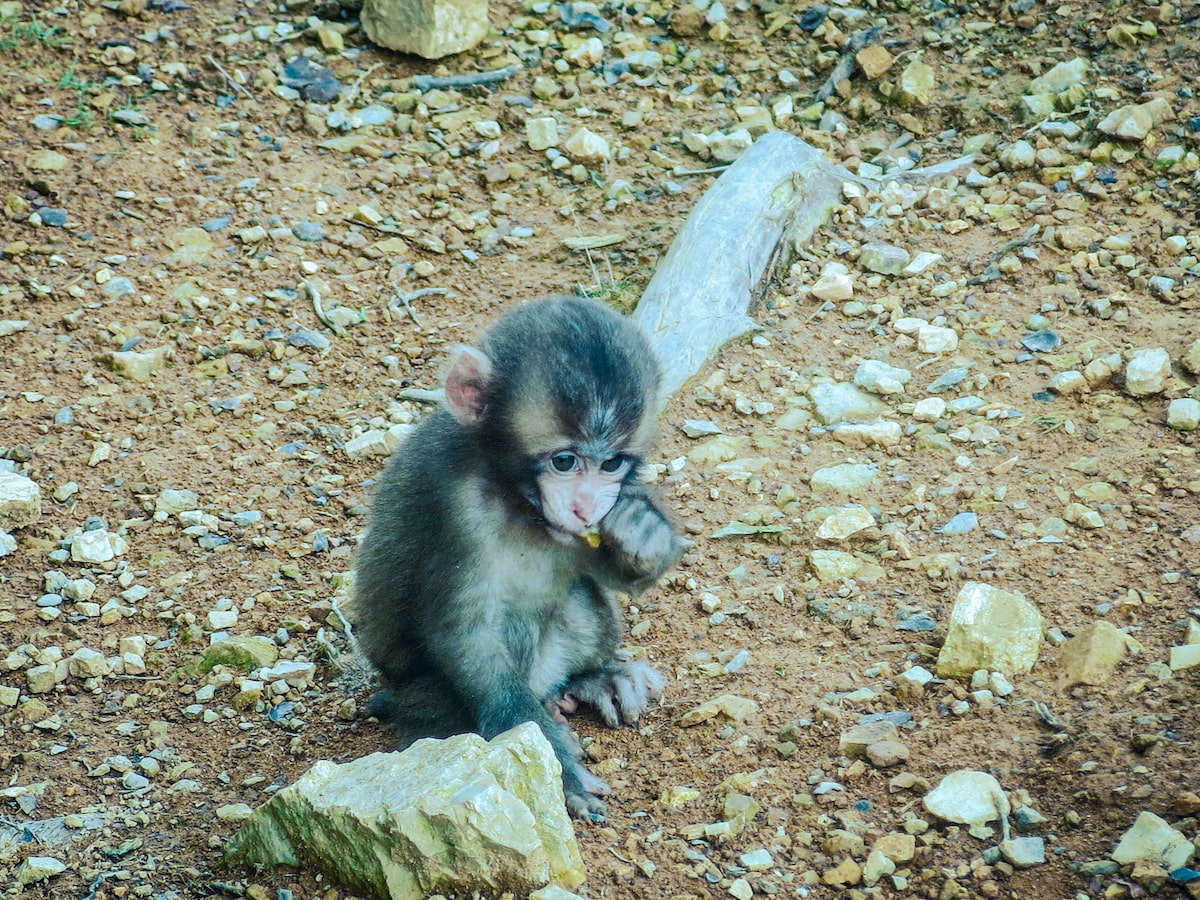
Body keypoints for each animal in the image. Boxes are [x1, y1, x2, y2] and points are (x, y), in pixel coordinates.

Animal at [350, 297, 681, 825]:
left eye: (611, 463)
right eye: (564, 461)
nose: (585, 507)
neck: (515, 494)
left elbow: (606, 569)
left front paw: (644, 530)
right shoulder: (455, 504)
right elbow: (468, 632)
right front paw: (562, 774)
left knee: (577, 599)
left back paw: (589, 680)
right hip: (420, 696)